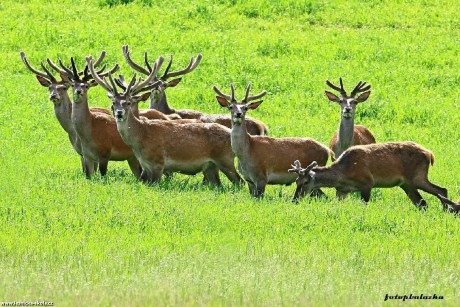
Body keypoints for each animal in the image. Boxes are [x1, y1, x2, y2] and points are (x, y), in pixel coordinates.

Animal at [87, 55, 244, 186]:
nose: (119, 113)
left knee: (240, 182)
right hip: (211, 166)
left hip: (225, 159)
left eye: (128, 102)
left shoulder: (158, 162)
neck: (141, 137)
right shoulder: (145, 165)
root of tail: (230, 133)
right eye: (113, 103)